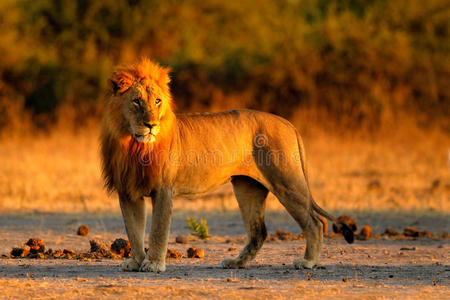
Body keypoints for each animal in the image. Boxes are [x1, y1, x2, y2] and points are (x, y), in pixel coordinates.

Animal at [100, 57, 354, 274]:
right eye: (136, 101)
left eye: (157, 101)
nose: (151, 124)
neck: (133, 145)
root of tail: (288, 123)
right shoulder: (128, 191)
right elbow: (133, 230)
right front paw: (136, 262)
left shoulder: (163, 189)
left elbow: (157, 230)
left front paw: (153, 264)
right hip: (247, 188)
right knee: (259, 231)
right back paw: (236, 262)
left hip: (286, 182)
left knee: (315, 222)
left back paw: (307, 261)